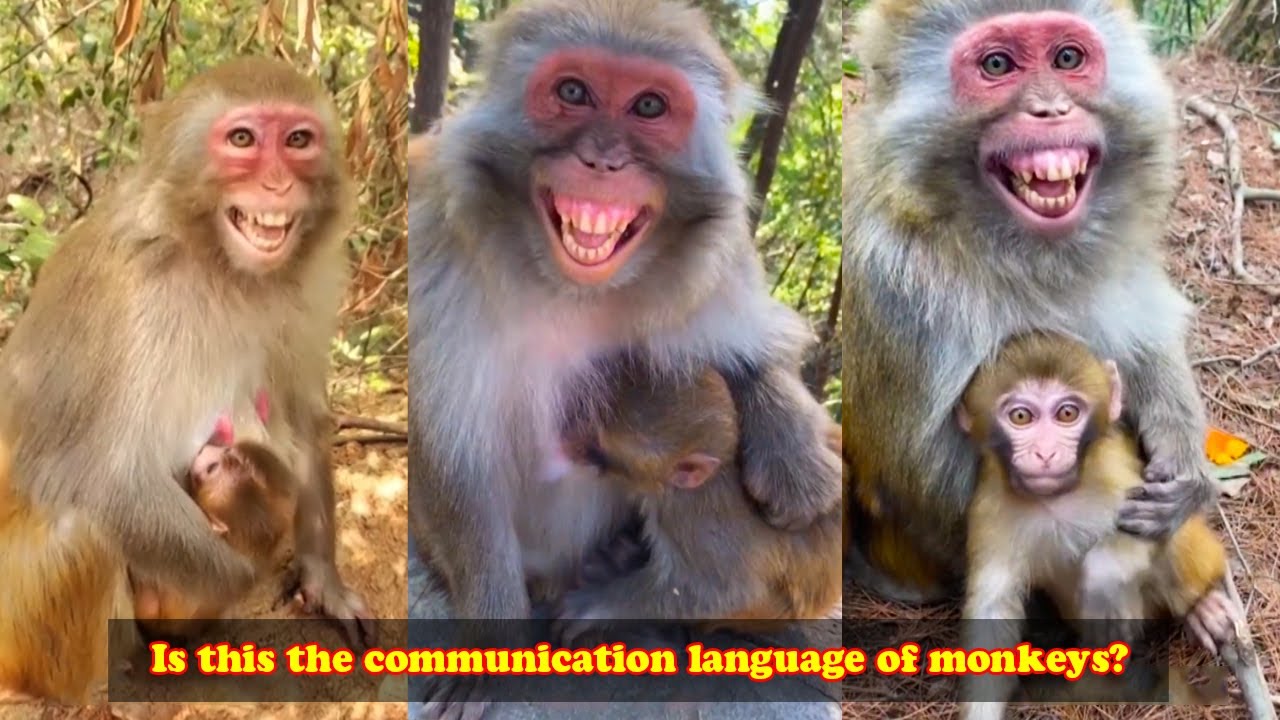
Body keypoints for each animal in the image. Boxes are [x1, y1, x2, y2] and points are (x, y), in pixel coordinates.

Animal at [0, 57, 373, 647]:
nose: (277, 183)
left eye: (298, 140)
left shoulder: (311, 283)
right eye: (242, 139)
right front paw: (252, 570)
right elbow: (94, 478)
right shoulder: (133, 299)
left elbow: (302, 414)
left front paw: (323, 579)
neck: (222, 266)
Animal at [551, 363, 842, 643]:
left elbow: (720, 592)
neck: (722, 462)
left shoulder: (689, 514)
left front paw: (593, 607)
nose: (565, 440)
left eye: (595, 447)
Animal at [842, 0, 1213, 603]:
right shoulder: (896, 291)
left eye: (1067, 58)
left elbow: (1143, 330)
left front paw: (1185, 467)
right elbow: (929, 483)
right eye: (997, 65)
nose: (1050, 109)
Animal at [954, 331, 1238, 719]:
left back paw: (1201, 607)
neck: (1056, 498)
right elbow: (992, 610)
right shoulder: (988, 510)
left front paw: (1106, 577)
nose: (1046, 453)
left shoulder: (1112, 471)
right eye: (1021, 416)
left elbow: (1152, 527)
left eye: (1067, 413)